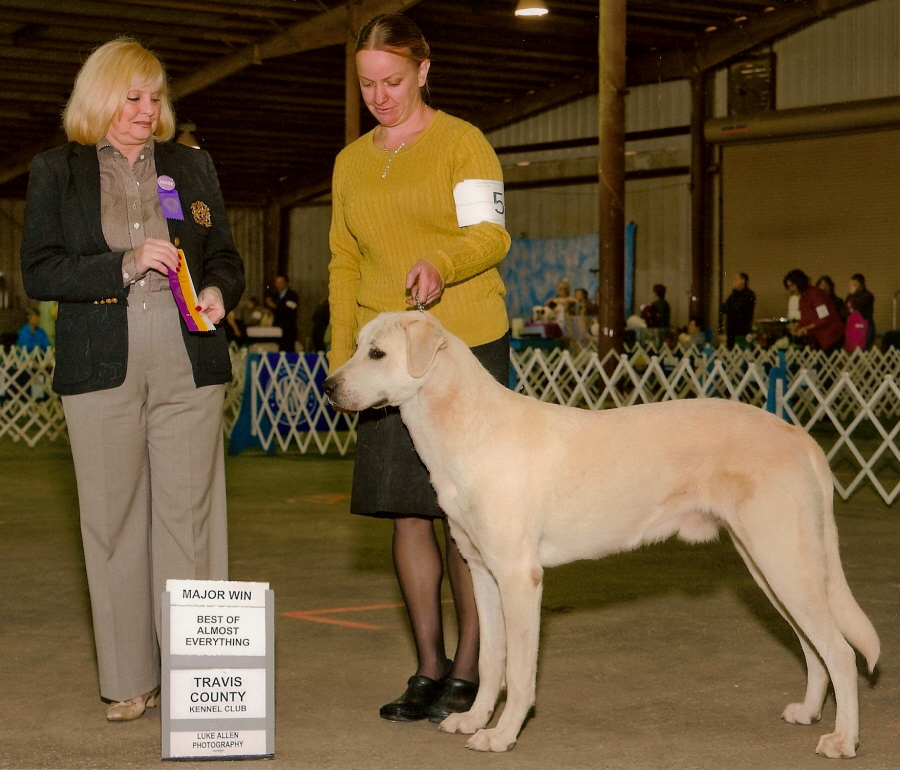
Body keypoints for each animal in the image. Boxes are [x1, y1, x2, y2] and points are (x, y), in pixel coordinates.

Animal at [324, 310, 880, 756]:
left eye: (377, 353)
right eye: (355, 345)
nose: (328, 386)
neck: (465, 426)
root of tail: (800, 435)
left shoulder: (519, 577)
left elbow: (518, 672)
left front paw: (502, 735)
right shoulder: (482, 573)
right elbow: (491, 659)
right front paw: (474, 720)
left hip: (784, 559)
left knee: (840, 651)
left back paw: (842, 740)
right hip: (770, 566)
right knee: (812, 646)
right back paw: (808, 712)